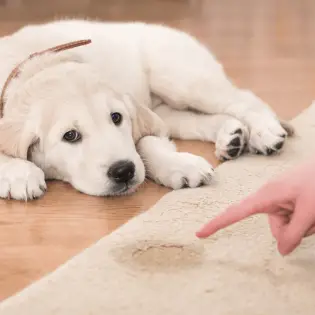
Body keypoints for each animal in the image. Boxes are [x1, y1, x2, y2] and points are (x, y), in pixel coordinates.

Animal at [0, 19, 294, 201]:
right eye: (70, 136)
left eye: (116, 118)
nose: (123, 171)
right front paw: (20, 172)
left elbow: (145, 144)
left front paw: (180, 164)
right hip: (166, 110)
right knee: (194, 120)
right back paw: (231, 136)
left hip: (180, 79)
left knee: (243, 98)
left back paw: (264, 132)